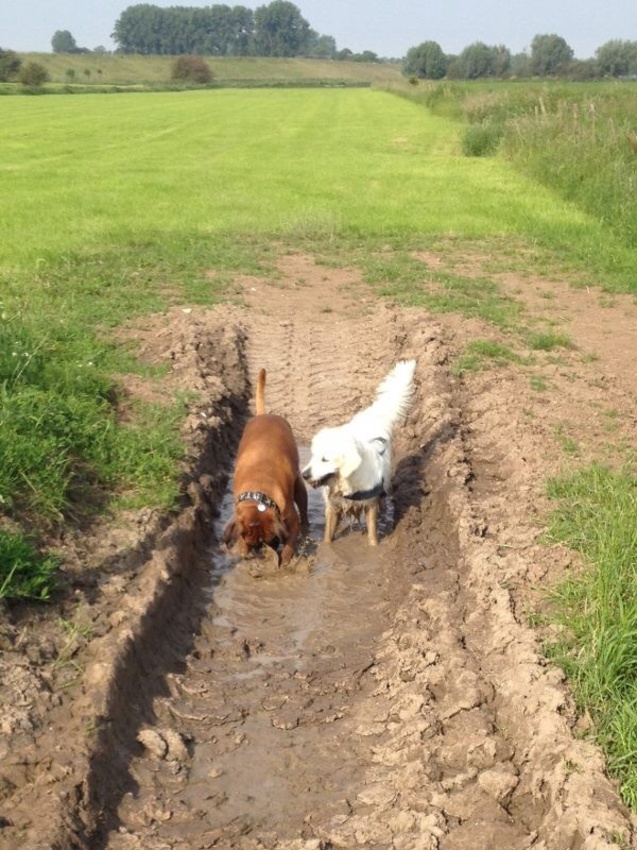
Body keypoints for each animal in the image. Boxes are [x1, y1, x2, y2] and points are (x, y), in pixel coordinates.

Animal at [223, 369, 308, 567]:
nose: (262, 550)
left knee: (304, 510)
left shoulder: (291, 522)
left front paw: (284, 562)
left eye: (272, 540)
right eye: (251, 543)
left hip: (299, 487)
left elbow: (289, 546)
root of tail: (264, 415)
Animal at [302, 360, 416, 546]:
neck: (347, 484)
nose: (304, 475)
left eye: (325, 459)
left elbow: (372, 534)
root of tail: (374, 414)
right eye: (313, 456)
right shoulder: (333, 506)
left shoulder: (370, 505)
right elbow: (328, 537)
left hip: (385, 484)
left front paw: (374, 546)